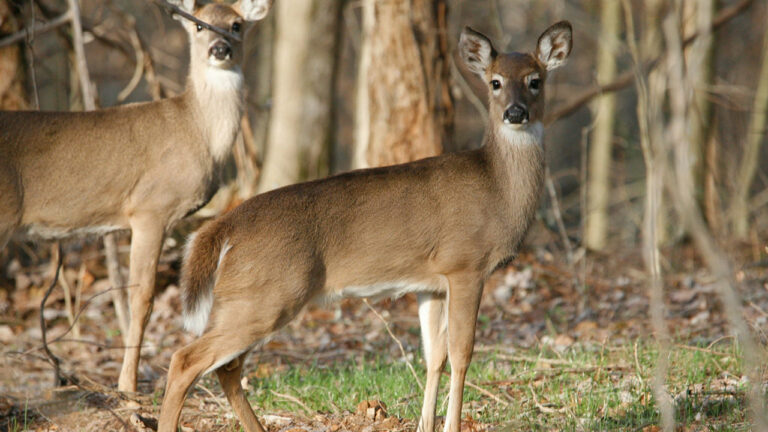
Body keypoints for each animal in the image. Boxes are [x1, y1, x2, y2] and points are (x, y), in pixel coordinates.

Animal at [0, 0, 272, 393]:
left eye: (236, 25)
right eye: (199, 26)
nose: (220, 49)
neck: (197, 131)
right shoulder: (150, 208)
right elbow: (141, 298)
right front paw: (127, 385)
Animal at [157, 22, 572, 432]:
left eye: (535, 80)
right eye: (495, 82)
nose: (516, 113)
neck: (497, 189)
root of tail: (224, 226)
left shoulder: (432, 283)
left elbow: (434, 355)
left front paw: (425, 424)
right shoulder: (465, 264)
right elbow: (462, 353)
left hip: (249, 297)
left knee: (226, 367)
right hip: (266, 295)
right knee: (186, 359)